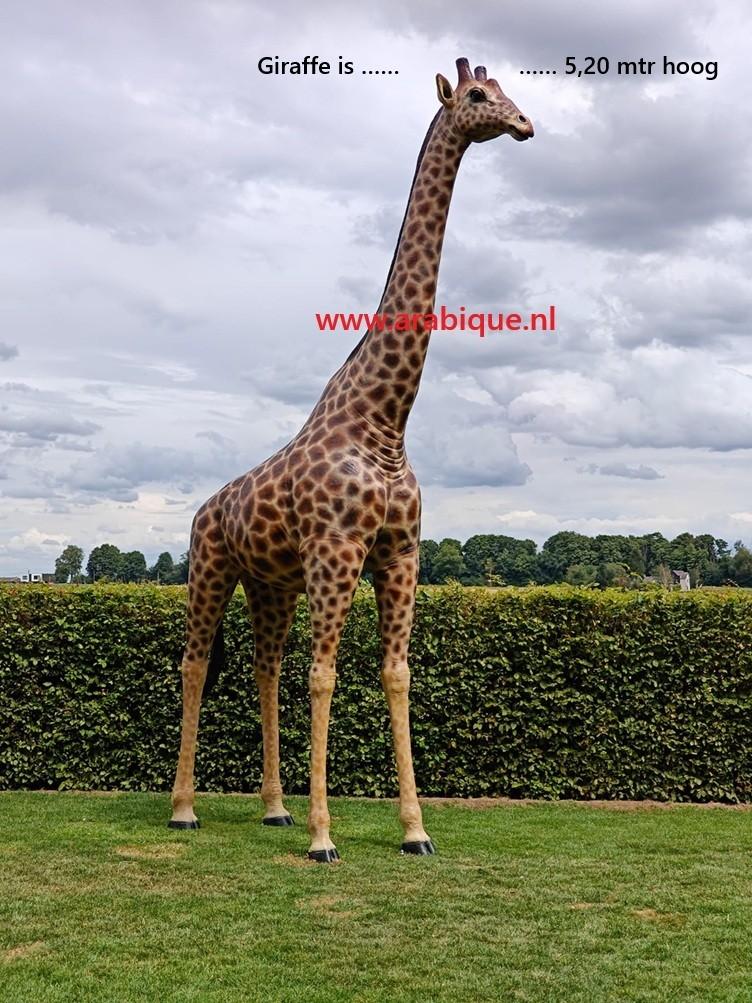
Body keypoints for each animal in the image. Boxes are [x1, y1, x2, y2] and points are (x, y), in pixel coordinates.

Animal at [168, 57, 533, 861]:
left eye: (506, 92)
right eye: (477, 96)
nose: (526, 126)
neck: (384, 423)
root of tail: (206, 508)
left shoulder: (399, 554)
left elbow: (394, 674)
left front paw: (415, 829)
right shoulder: (337, 550)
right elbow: (326, 676)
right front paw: (323, 837)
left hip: (271, 585)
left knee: (265, 666)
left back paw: (274, 808)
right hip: (210, 567)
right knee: (197, 662)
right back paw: (184, 810)